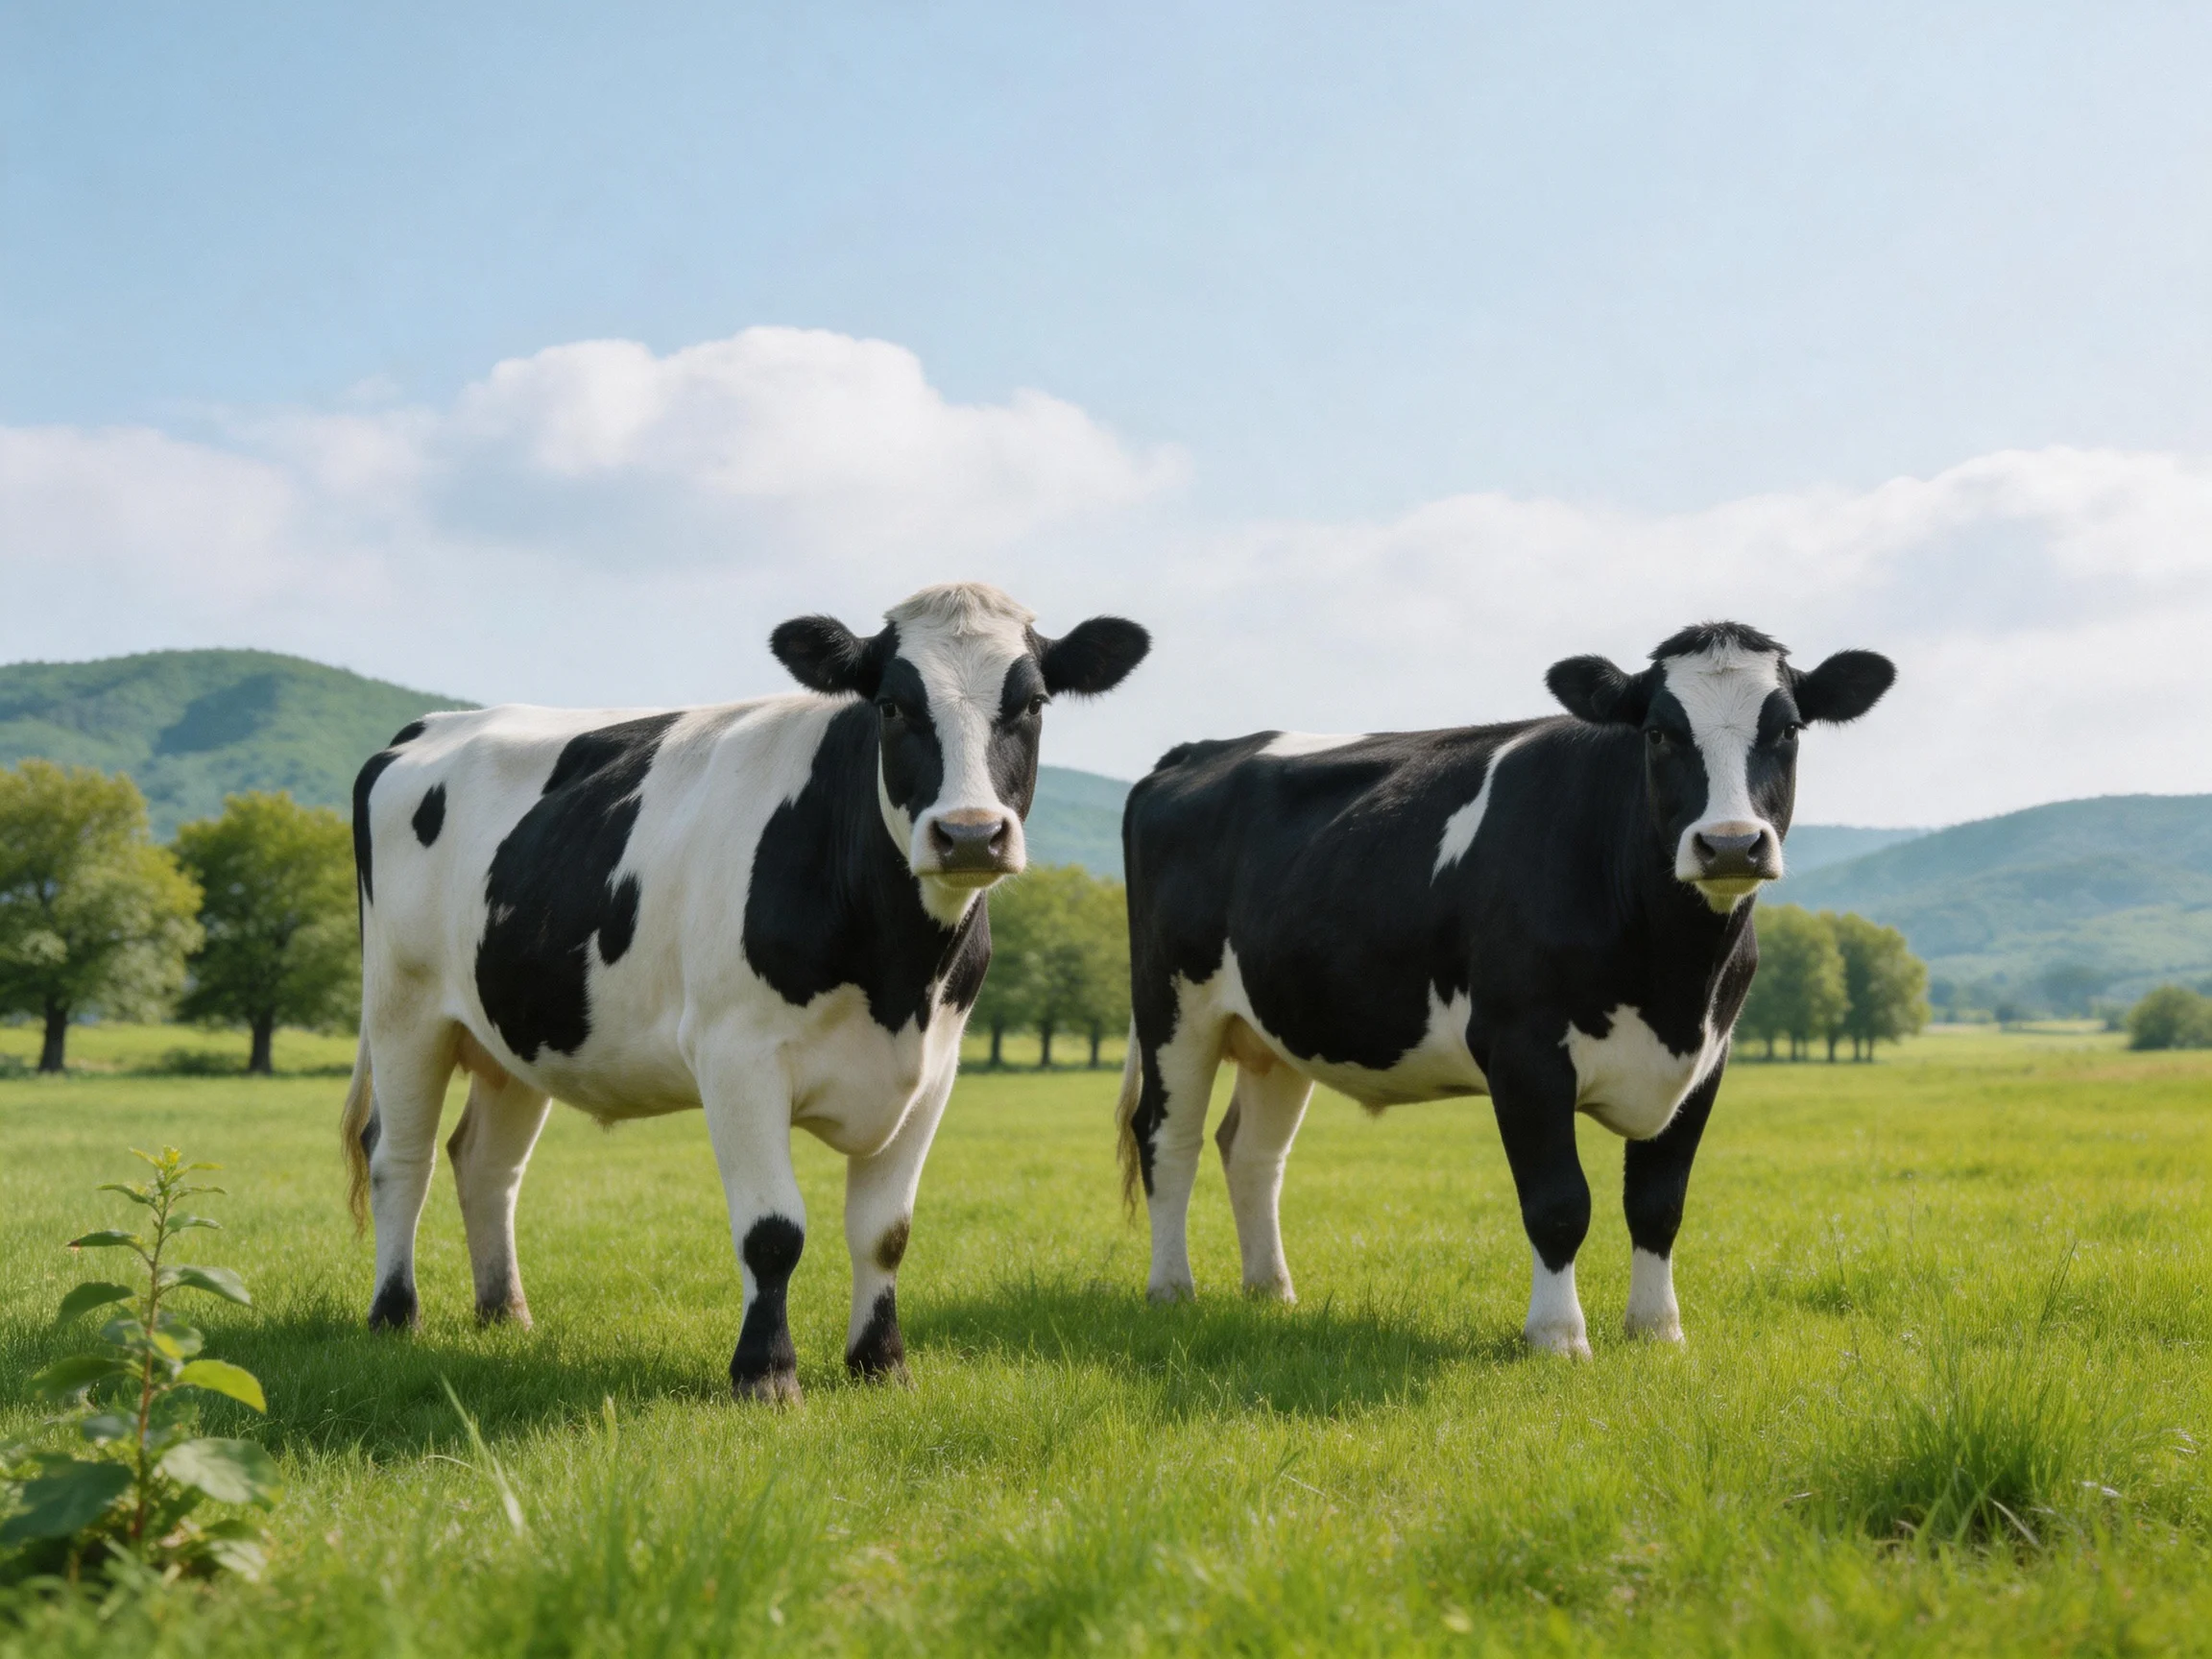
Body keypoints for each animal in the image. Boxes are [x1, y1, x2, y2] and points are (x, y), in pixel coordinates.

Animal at [339, 582, 1149, 1400]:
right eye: (891, 705)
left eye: (1034, 703)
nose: (972, 834)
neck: (897, 978)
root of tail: (436, 723)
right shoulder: (736, 1057)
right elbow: (773, 1231)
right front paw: (765, 1375)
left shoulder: (934, 1071)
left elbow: (886, 1232)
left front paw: (880, 1364)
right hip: (404, 1010)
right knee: (398, 1156)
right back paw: (395, 1316)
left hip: (514, 1032)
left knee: (485, 1165)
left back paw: (505, 1315)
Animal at [1114, 622, 1892, 1355]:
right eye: (1659, 732)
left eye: (1788, 729)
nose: (1730, 843)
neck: (1673, 977)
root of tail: (1197, 750)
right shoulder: (1523, 1050)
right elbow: (1559, 1203)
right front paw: (1557, 1336)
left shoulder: (1707, 1058)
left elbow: (1658, 1202)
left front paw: (1657, 1330)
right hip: (1172, 1007)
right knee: (1167, 1139)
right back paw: (1172, 1290)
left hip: (1276, 1030)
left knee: (1252, 1153)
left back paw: (1271, 1291)